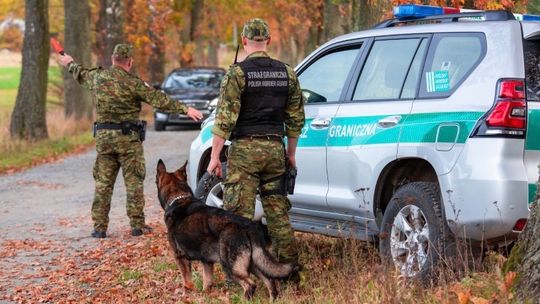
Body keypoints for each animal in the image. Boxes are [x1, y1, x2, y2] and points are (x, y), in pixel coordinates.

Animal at [156, 159, 300, 300]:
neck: (178, 197)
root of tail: (248, 226)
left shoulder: (180, 257)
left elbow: (187, 282)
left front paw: (188, 295)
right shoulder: (206, 262)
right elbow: (207, 282)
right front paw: (205, 295)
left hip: (229, 265)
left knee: (250, 285)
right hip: (253, 262)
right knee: (270, 281)